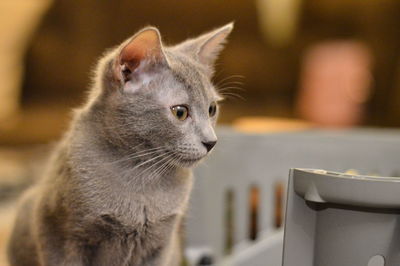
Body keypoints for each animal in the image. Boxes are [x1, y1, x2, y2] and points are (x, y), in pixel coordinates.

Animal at [7, 23, 233, 266]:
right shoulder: (60, 236)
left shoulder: (161, 244)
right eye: (180, 112)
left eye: (212, 109)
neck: (142, 174)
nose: (211, 141)